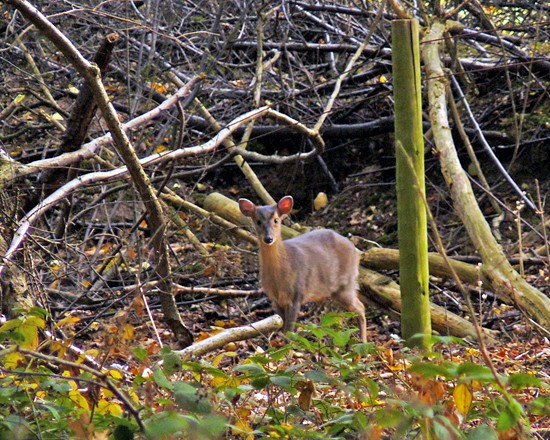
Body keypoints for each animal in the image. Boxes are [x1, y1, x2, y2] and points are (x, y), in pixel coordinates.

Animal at [240, 194, 366, 342]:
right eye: (258, 221)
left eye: (276, 220)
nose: (268, 238)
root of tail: (356, 251)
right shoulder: (274, 300)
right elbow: (283, 329)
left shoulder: (296, 295)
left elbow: (289, 332)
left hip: (345, 285)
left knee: (360, 307)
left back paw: (364, 341)